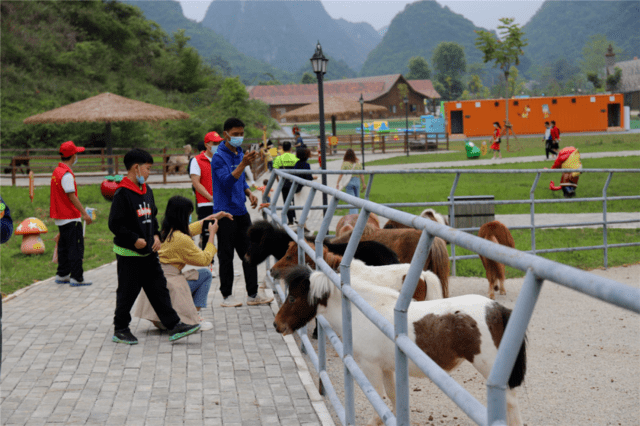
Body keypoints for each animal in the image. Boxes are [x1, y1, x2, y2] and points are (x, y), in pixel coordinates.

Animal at [276, 266, 524, 426]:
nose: (277, 324)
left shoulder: (370, 367)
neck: (362, 312)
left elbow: (378, 404)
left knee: (512, 405)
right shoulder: (387, 368)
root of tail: (496, 309)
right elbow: (393, 401)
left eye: (292, 298)